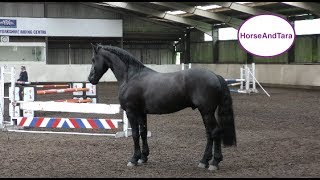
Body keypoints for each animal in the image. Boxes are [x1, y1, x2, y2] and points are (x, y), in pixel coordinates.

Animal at [89, 44, 236, 171]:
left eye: (93, 59)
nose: (90, 79)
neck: (131, 76)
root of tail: (215, 76)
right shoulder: (141, 113)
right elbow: (143, 132)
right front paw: (143, 157)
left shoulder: (131, 112)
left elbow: (135, 134)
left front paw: (134, 159)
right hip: (205, 112)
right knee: (209, 134)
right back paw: (204, 161)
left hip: (207, 112)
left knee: (215, 132)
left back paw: (214, 162)